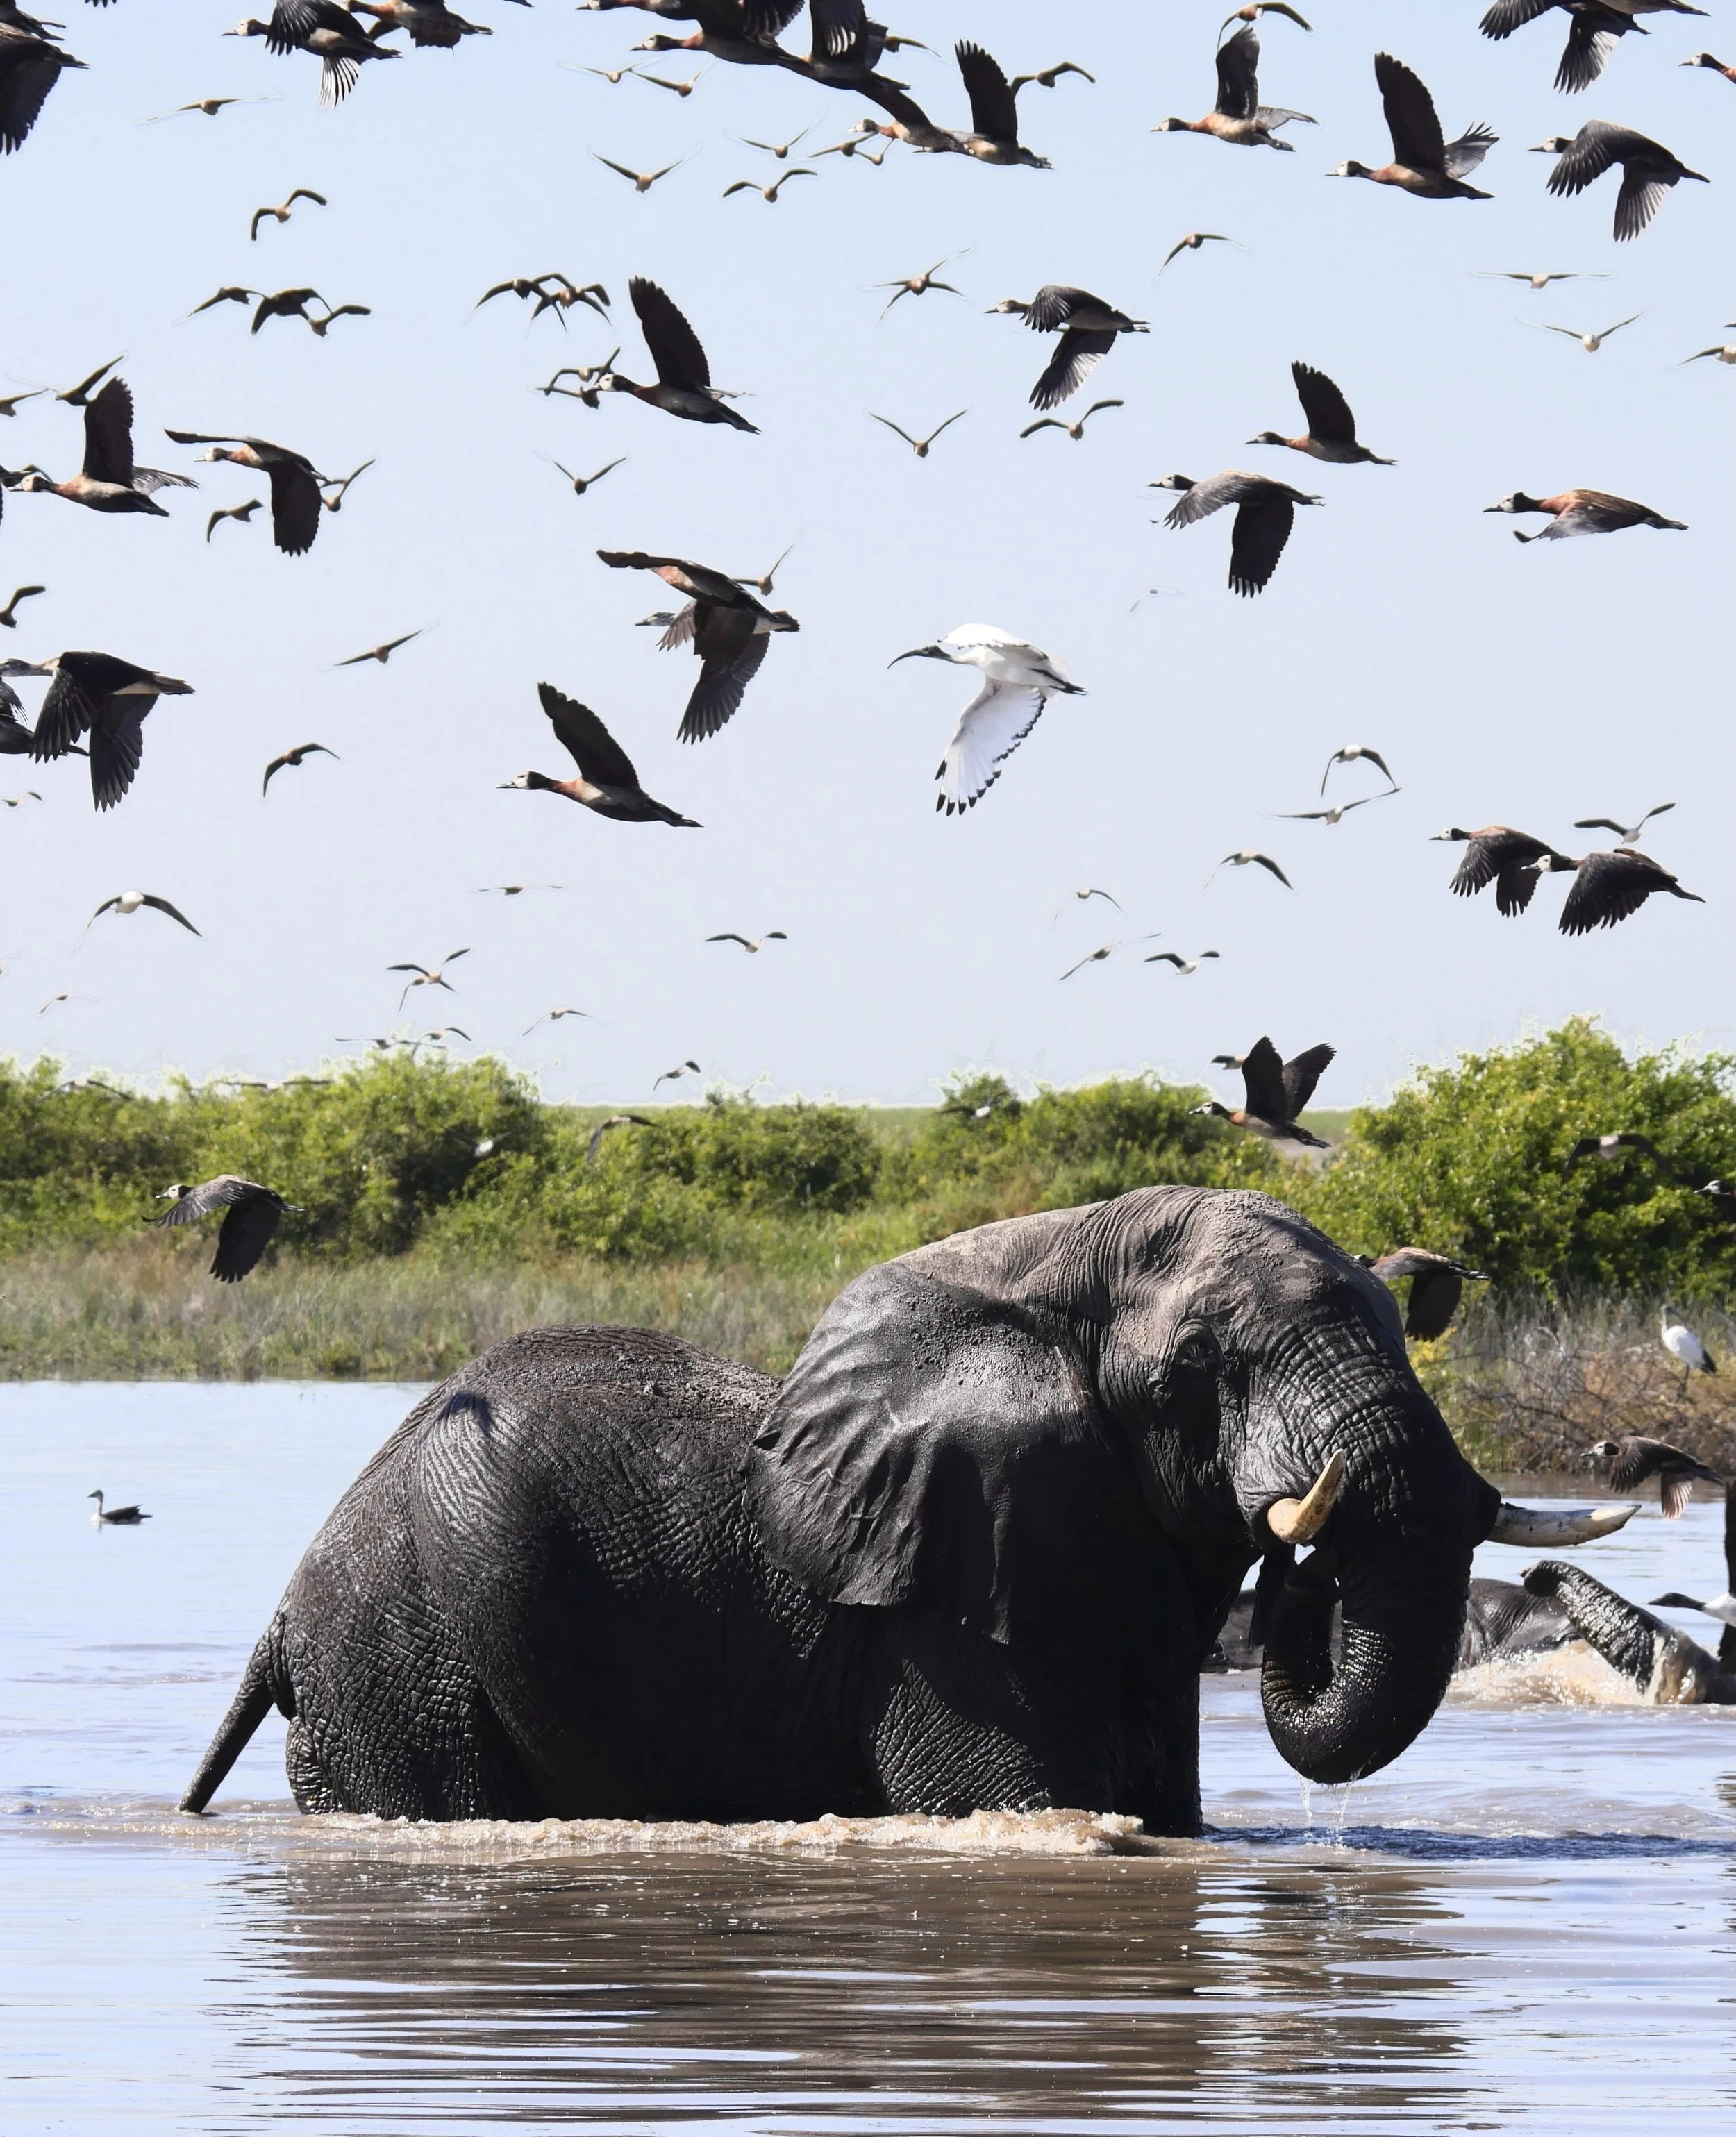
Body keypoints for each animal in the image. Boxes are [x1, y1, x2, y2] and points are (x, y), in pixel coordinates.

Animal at [182, 1187, 1627, 1834]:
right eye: (1194, 1375)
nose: (1304, 1550)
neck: (1055, 1266)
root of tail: (284, 1609)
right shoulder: (939, 1612)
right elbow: (1012, 1797)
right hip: (401, 1659)